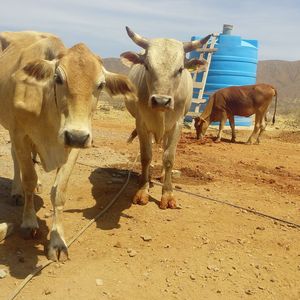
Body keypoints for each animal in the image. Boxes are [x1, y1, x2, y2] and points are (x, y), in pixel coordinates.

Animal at [0, 31, 136, 260]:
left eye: (100, 85)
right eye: (58, 78)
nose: (76, 136)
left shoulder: (73, 145)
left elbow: (59, 191)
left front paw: (57, 241)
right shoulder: (20, 134)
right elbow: (28, 178)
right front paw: (29, 223)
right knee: (15, 158)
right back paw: (17, 192)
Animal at [120, 26, 216, 209]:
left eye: (180, 69)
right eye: (147, 66)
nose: (161, 101)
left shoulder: (177, 125)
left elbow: (169, 157)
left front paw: (168, 194)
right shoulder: (142, 124)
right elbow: (146, 156)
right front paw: (143, 189)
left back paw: (163, 175)